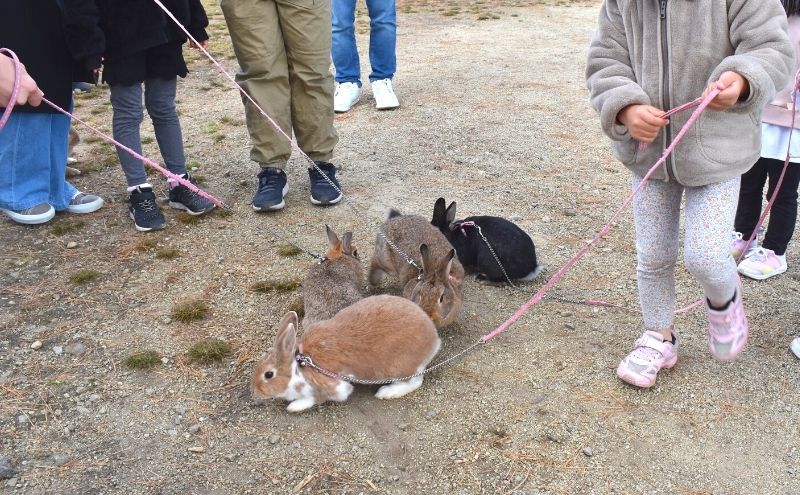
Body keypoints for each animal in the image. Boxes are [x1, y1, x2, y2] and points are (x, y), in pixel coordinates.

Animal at [250, 294, 440, 414]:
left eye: (268, 374)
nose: (255, 391)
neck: (299, 365)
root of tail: (434, 339)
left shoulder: (331, 386)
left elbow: (315, 398)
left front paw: (294, 406)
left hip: (400, 367)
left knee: (415, 381)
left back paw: (387, 392)